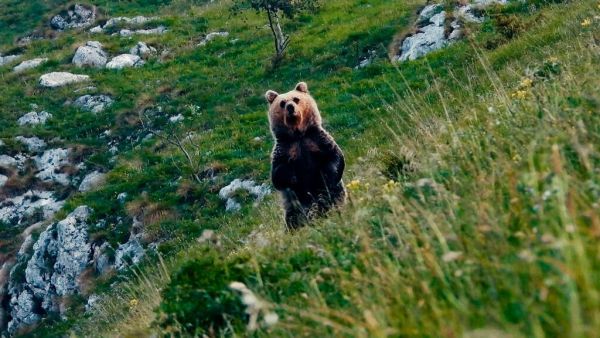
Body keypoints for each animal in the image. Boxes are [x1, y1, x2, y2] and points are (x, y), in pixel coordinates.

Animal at [264, 81, 344, 230]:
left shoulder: (317, 140)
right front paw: (292, 177)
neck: (298, 135)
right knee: (294, 219)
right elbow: (278, 176)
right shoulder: (285, 149)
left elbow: (334, 157)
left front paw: (327, 176)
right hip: (294, 206)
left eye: (296, 99)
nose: (290, 107)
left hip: (337, 195)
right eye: (282, 103)